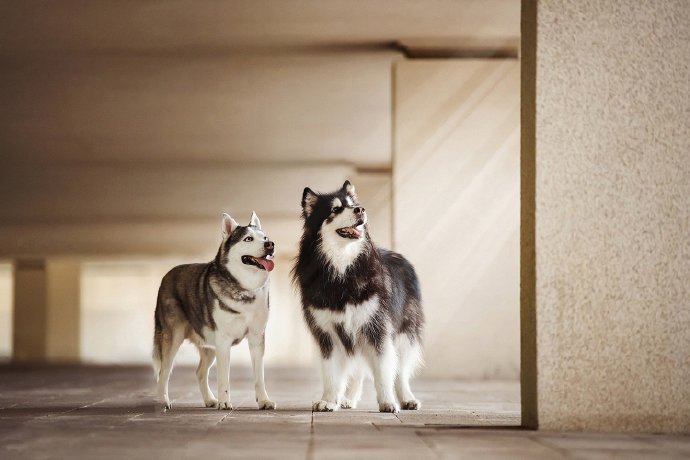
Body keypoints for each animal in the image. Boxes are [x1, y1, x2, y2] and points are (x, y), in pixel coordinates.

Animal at [292, 181, 422, 414]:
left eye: (353, 204)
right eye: (335, 209)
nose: (360, 209)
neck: (342, 270)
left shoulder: (376, 328)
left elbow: (383, 371)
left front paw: (387, 402)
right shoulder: (328, 333)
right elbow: (332, 373)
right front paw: (329, 400)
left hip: (404, 334)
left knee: (400, 370)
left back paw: (407, 398)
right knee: (359, 370)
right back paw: (348, 399)